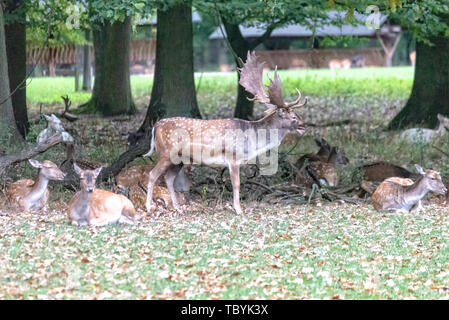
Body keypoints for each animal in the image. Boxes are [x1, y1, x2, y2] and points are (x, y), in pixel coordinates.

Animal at [144, 50, 308, 215]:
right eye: (293, 117)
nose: (303, 125)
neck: (252, 143)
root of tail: (156, 125)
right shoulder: (233, 157)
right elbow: (236, 184)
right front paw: (238, 210)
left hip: (179, 159)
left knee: (168, 178)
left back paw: (177, 208)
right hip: (165, 153)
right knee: (152, 174)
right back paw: (149, 207)